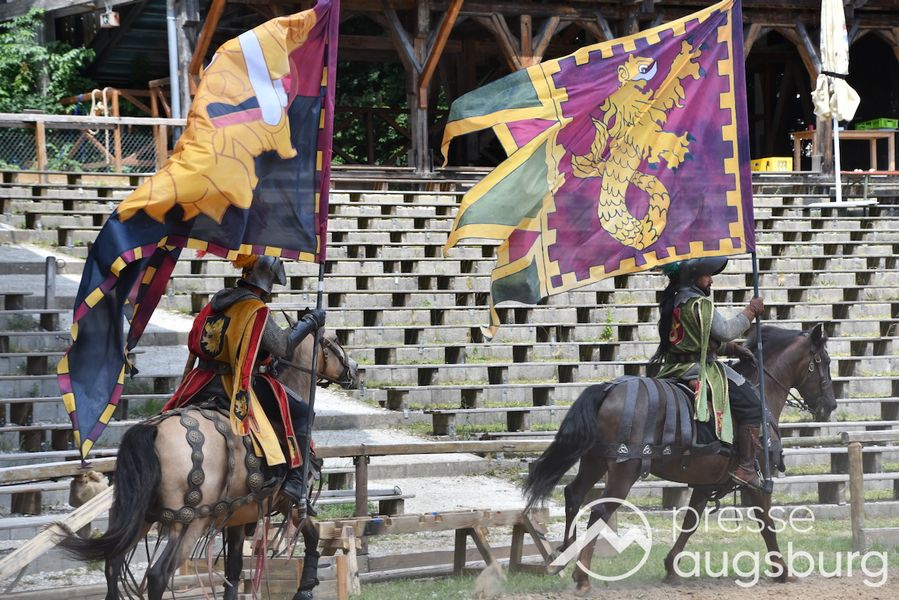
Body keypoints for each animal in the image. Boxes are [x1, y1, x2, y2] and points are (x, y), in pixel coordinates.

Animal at [61, 330, 360, 600]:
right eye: (335, 341)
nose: (356, 371)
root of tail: (151, 431)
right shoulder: (289, 502)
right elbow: (313, 534)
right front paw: (306, 588)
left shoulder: (241, 514)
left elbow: (234, 568)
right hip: (189, 522)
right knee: (158, 574)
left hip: (139, 516)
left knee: (112, 565)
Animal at [523, 323, 836, 592]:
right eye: (823, 360)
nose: (830, 405)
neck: (760, 390)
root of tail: (608, 389)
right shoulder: (757, 481)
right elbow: (766, 523)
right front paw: (782, 569)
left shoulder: (706, 483)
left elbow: (690, 521)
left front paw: (671, 567)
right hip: (624, 471)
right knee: (600, 512)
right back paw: (582, 576)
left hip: (595, 462)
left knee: (574, 496)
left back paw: (564, 557)